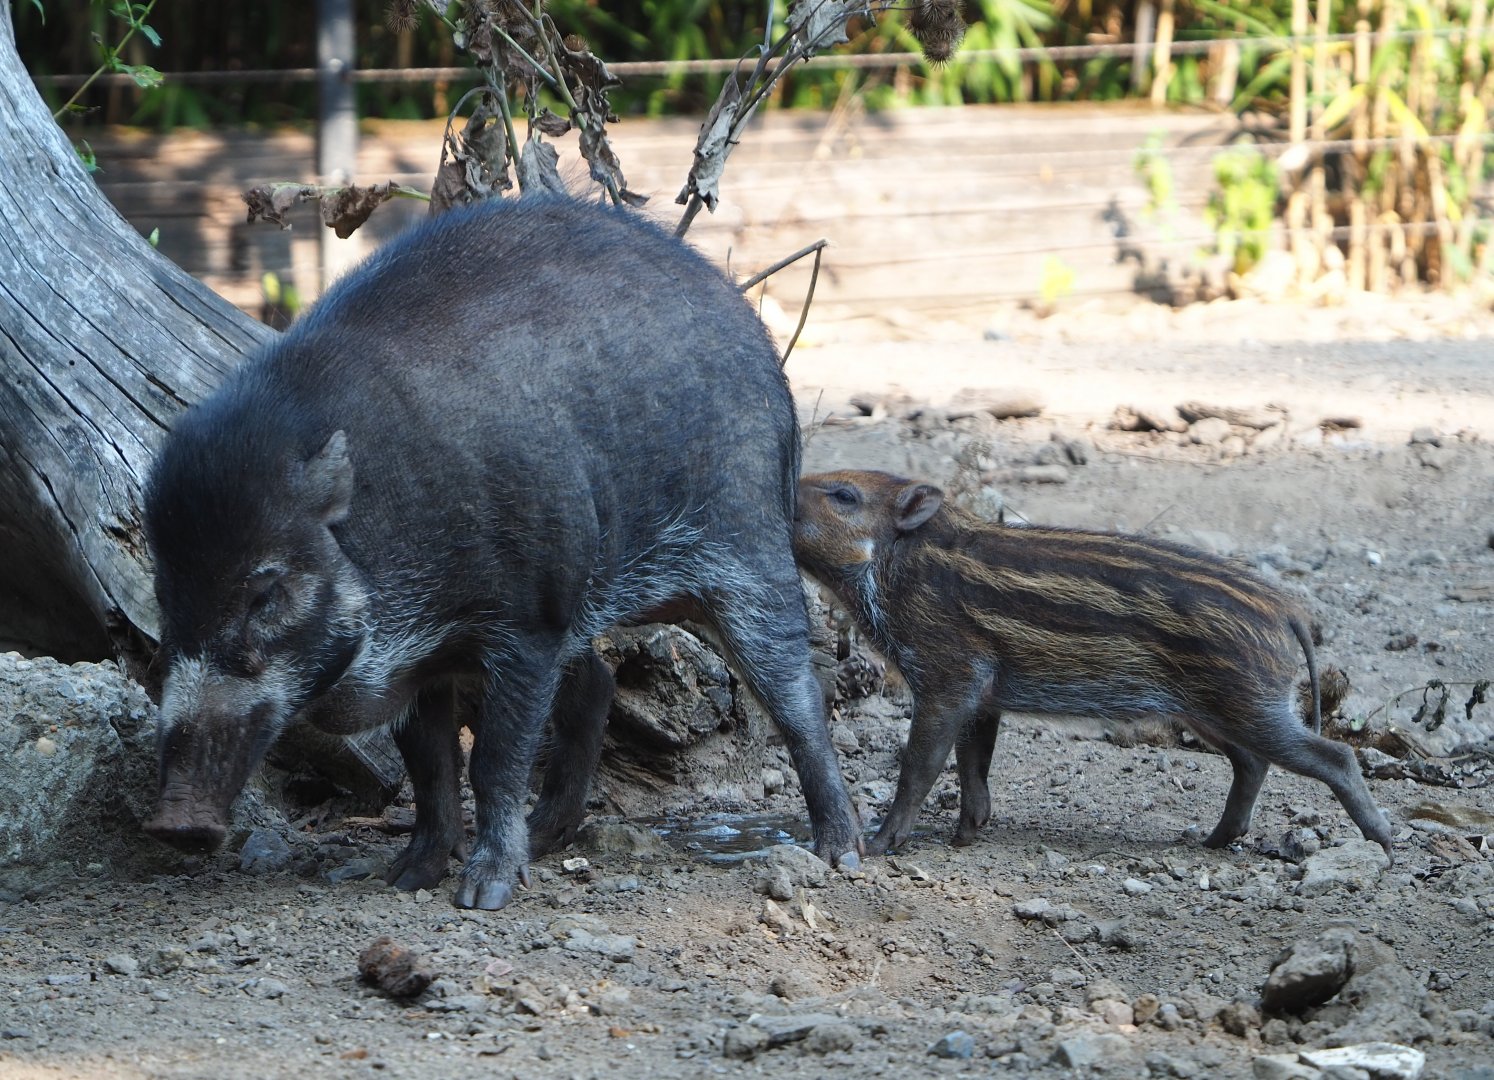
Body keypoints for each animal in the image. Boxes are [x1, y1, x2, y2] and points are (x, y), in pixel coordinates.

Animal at [141, 197, 861, 909]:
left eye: (267, 591)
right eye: (165, 592)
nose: (175, 823)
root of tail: (765, 358)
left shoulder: (531, 616)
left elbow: (494, 760)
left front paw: (482, 894)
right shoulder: (424, 664)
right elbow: (430, 768)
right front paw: (406, 877)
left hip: (746, 544)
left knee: (795, 689)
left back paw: (841, 853)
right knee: (596, 683)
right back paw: (545, 838)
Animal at [792, 469, 1393, 860]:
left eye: (844, 495)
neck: (899, 570)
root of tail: (1289, 612)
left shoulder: (947, 678)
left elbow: (921, 764)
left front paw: (879, 845)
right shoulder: (983, 694)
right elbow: (973, 760)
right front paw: (967, 835)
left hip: (1248, 703)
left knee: (1333, 756)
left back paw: (1383, 844)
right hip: (1212, 711)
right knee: (1251, 763)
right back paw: (1214, 841)